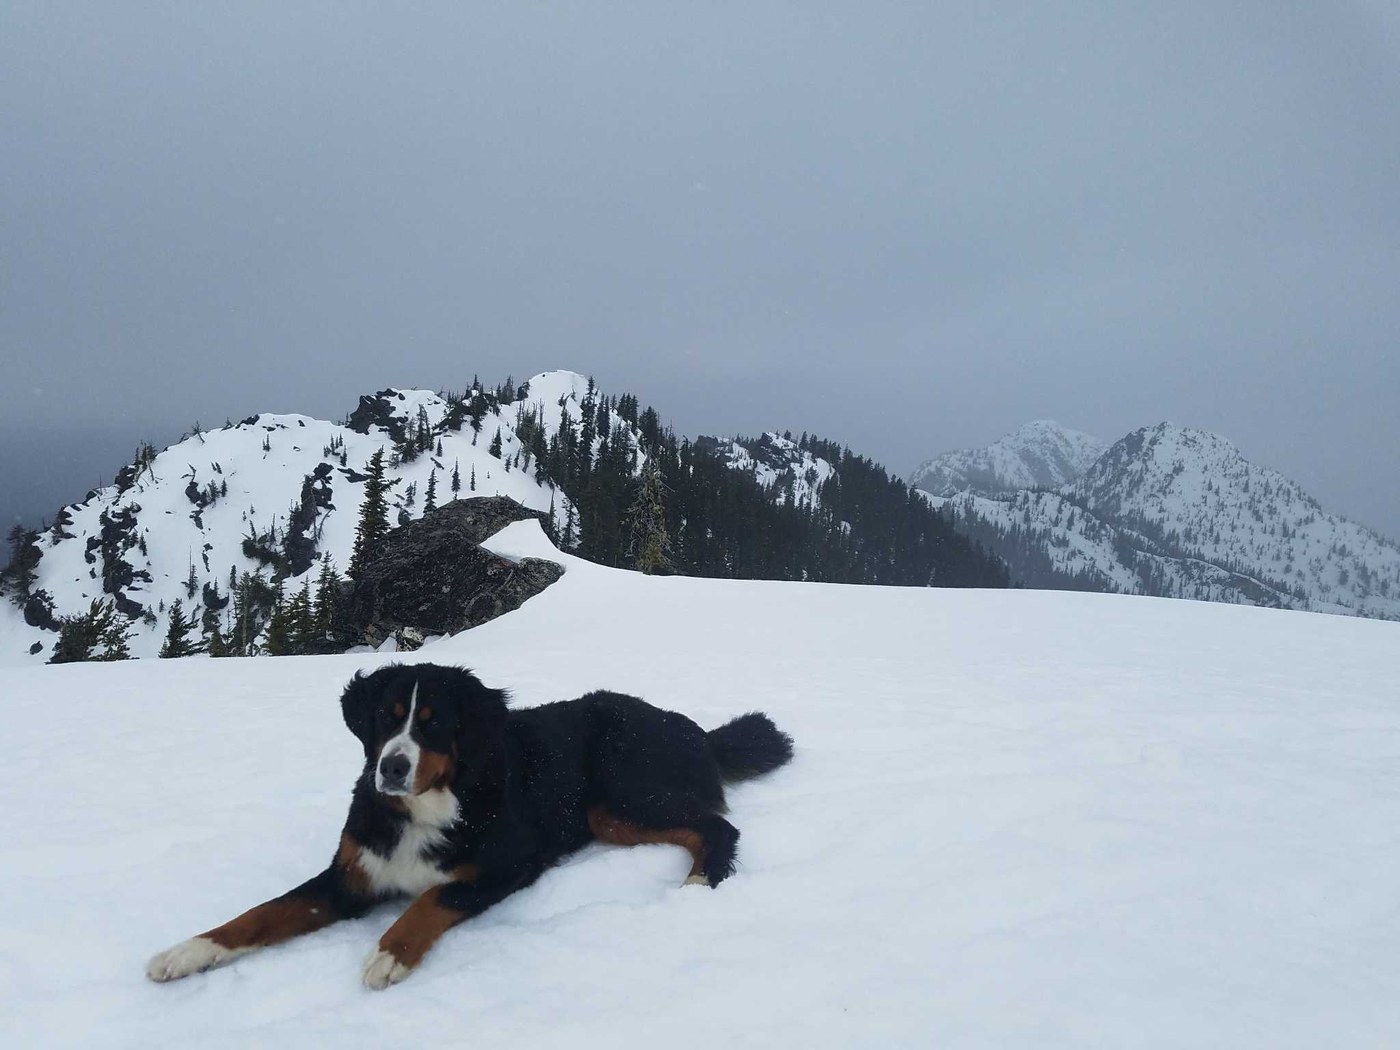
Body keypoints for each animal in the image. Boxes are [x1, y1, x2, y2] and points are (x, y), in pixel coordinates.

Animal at [146, 663, 794, 990]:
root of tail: (695, 730)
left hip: (616, 796)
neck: (428, 806)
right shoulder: (352, 874)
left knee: (718, 829)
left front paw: (390, 953)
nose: (391, 767)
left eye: (433, 723)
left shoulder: (510, 862)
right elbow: (264, 913)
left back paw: (698, 883)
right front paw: (187, 952)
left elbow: (434, 897)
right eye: (385, 717)